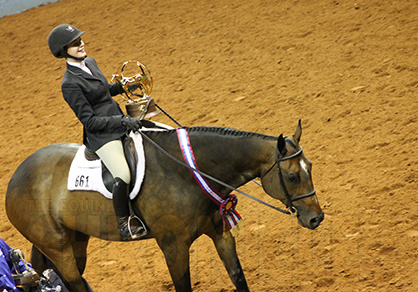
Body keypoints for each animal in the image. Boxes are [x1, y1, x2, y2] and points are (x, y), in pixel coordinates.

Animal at [5, 120, 324, 290]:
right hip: (58, 247)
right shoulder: (173, 247)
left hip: (75, 241)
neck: (189, 171)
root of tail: (14, 180)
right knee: (74, 282)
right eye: (293, 176)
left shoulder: (220, 233)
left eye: (310, 167)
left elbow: (238, 277)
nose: (316, 218)